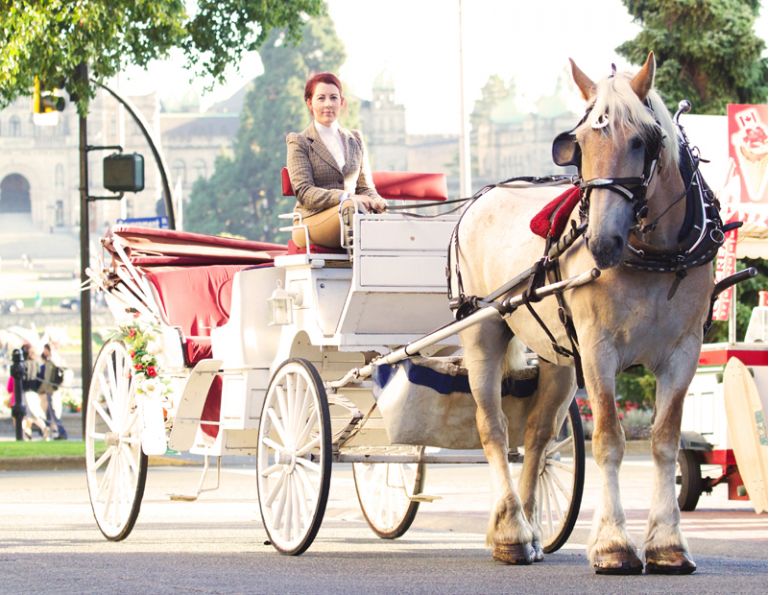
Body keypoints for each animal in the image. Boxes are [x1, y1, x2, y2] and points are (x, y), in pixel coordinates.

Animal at [456, 52, 714, 574]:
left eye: (641, 141)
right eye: (579, 146)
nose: (601, 242)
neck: (655, 255)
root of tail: (482, 195)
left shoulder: (685, 350)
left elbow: (665, 439)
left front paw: (667, 543)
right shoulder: (598, 349)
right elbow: (609, 439)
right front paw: (614, 544)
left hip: (555, 354)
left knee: (536, 437)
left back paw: (530, 529)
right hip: (482, 331)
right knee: (493, 429)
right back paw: (511, 531)